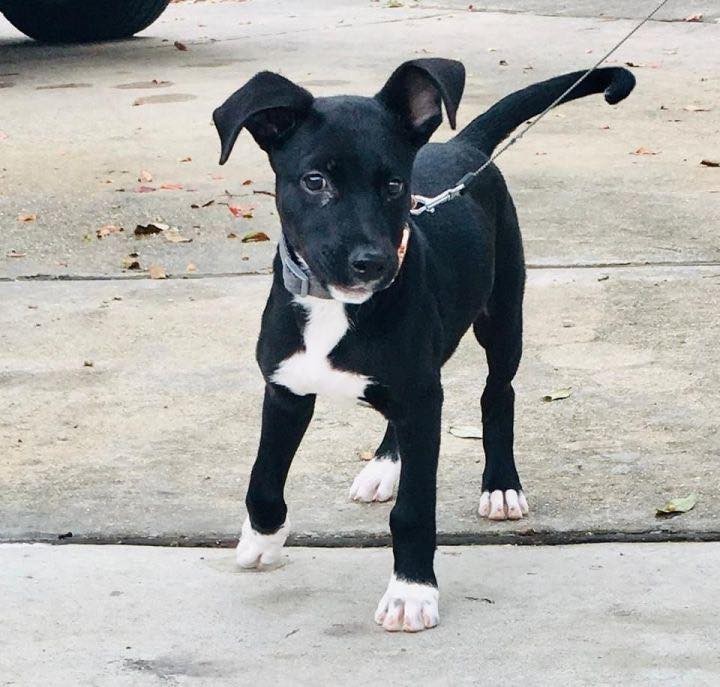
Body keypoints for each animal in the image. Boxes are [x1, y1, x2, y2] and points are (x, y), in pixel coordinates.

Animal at [211, 60, 632, 636]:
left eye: (393, 184)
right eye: (315, 182)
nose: (372, 262)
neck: (338, 308)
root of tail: (462, 144)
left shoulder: (419, 393)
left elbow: (413, 511)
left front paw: (411, 592)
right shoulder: (287, 389)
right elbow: (263, 479)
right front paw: (262, 540)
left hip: (503, 316)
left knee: (497, 394)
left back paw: (500, 485)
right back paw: (384, 466)